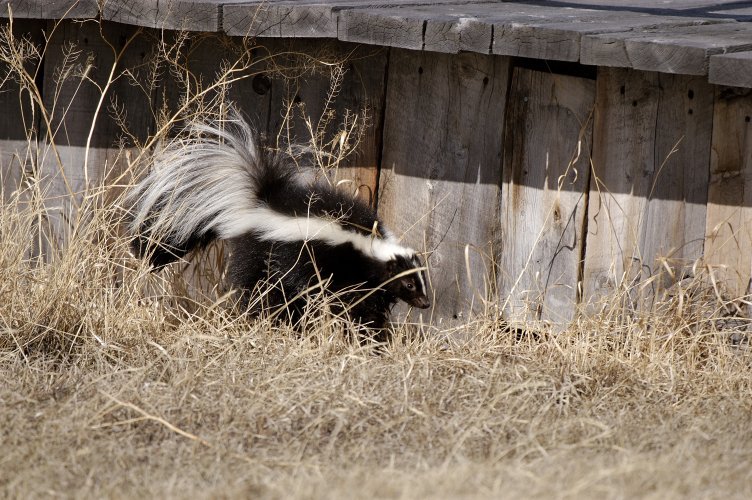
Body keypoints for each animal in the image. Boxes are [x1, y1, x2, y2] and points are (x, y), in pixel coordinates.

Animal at [126, 113, 426, 340]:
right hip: (261, 254)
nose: (425, 302)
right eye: (410, 284)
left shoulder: (370, 282)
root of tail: (259, 202)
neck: (367, 243)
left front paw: (374, 334)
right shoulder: (336, 266)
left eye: (421, 281)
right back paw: (263, 318)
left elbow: (370, 304)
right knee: (260, 289)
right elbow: (346, 301)